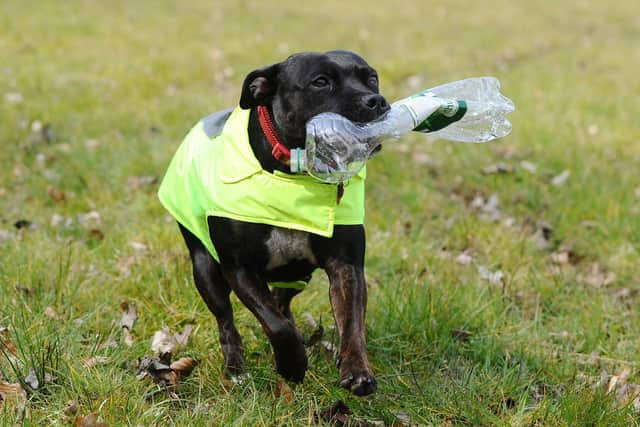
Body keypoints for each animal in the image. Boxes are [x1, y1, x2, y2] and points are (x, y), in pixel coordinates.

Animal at [160, 51, 390, 398]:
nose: (375, 100)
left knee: (281, 301)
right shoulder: (239, 267)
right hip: (205, 268)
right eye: (320, 82)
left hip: (297, 272)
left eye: (371, 78)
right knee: (227, 322)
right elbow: (275, 324)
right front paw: (292, 364)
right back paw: (236, 369)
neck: (297, 174)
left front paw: (356, 371)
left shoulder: (347, 265)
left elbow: (351, 322)